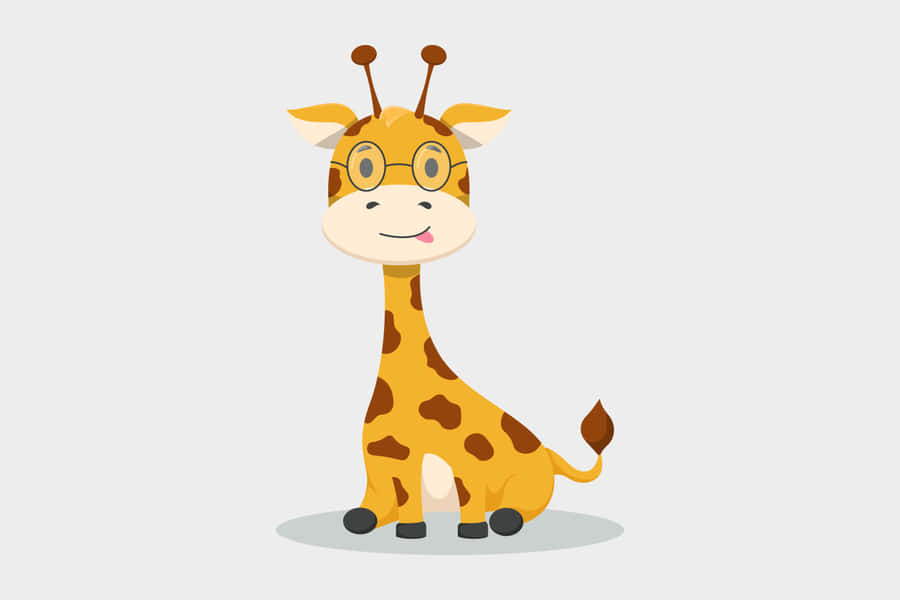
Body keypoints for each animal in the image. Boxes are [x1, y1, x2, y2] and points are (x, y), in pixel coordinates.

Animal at [287, 45, 614, 539]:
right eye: (364, 167)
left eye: (433, 166)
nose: (399, 206)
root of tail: (550, 456)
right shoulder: (385, 465)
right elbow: (383, 505)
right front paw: (394, 526)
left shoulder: (463, 460)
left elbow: (463, 495)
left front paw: (463, 529)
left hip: (527, 482)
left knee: (520, 507)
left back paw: (504, 519)